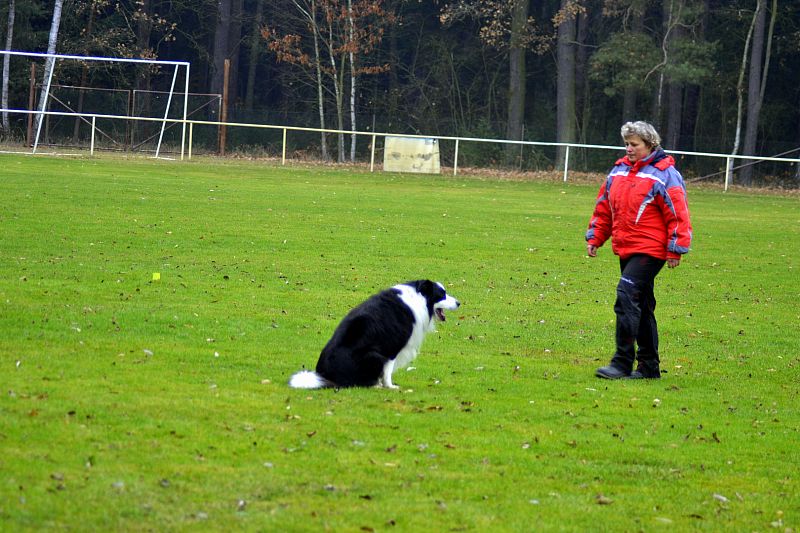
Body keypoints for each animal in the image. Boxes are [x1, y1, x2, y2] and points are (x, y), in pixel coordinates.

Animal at [290, 280, 460, 388]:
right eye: (442, 294)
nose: (459, 303)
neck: (419, 297)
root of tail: (326, 376)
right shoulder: (391, 347)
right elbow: (388, 370)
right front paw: (390, 386)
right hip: (373, 355)